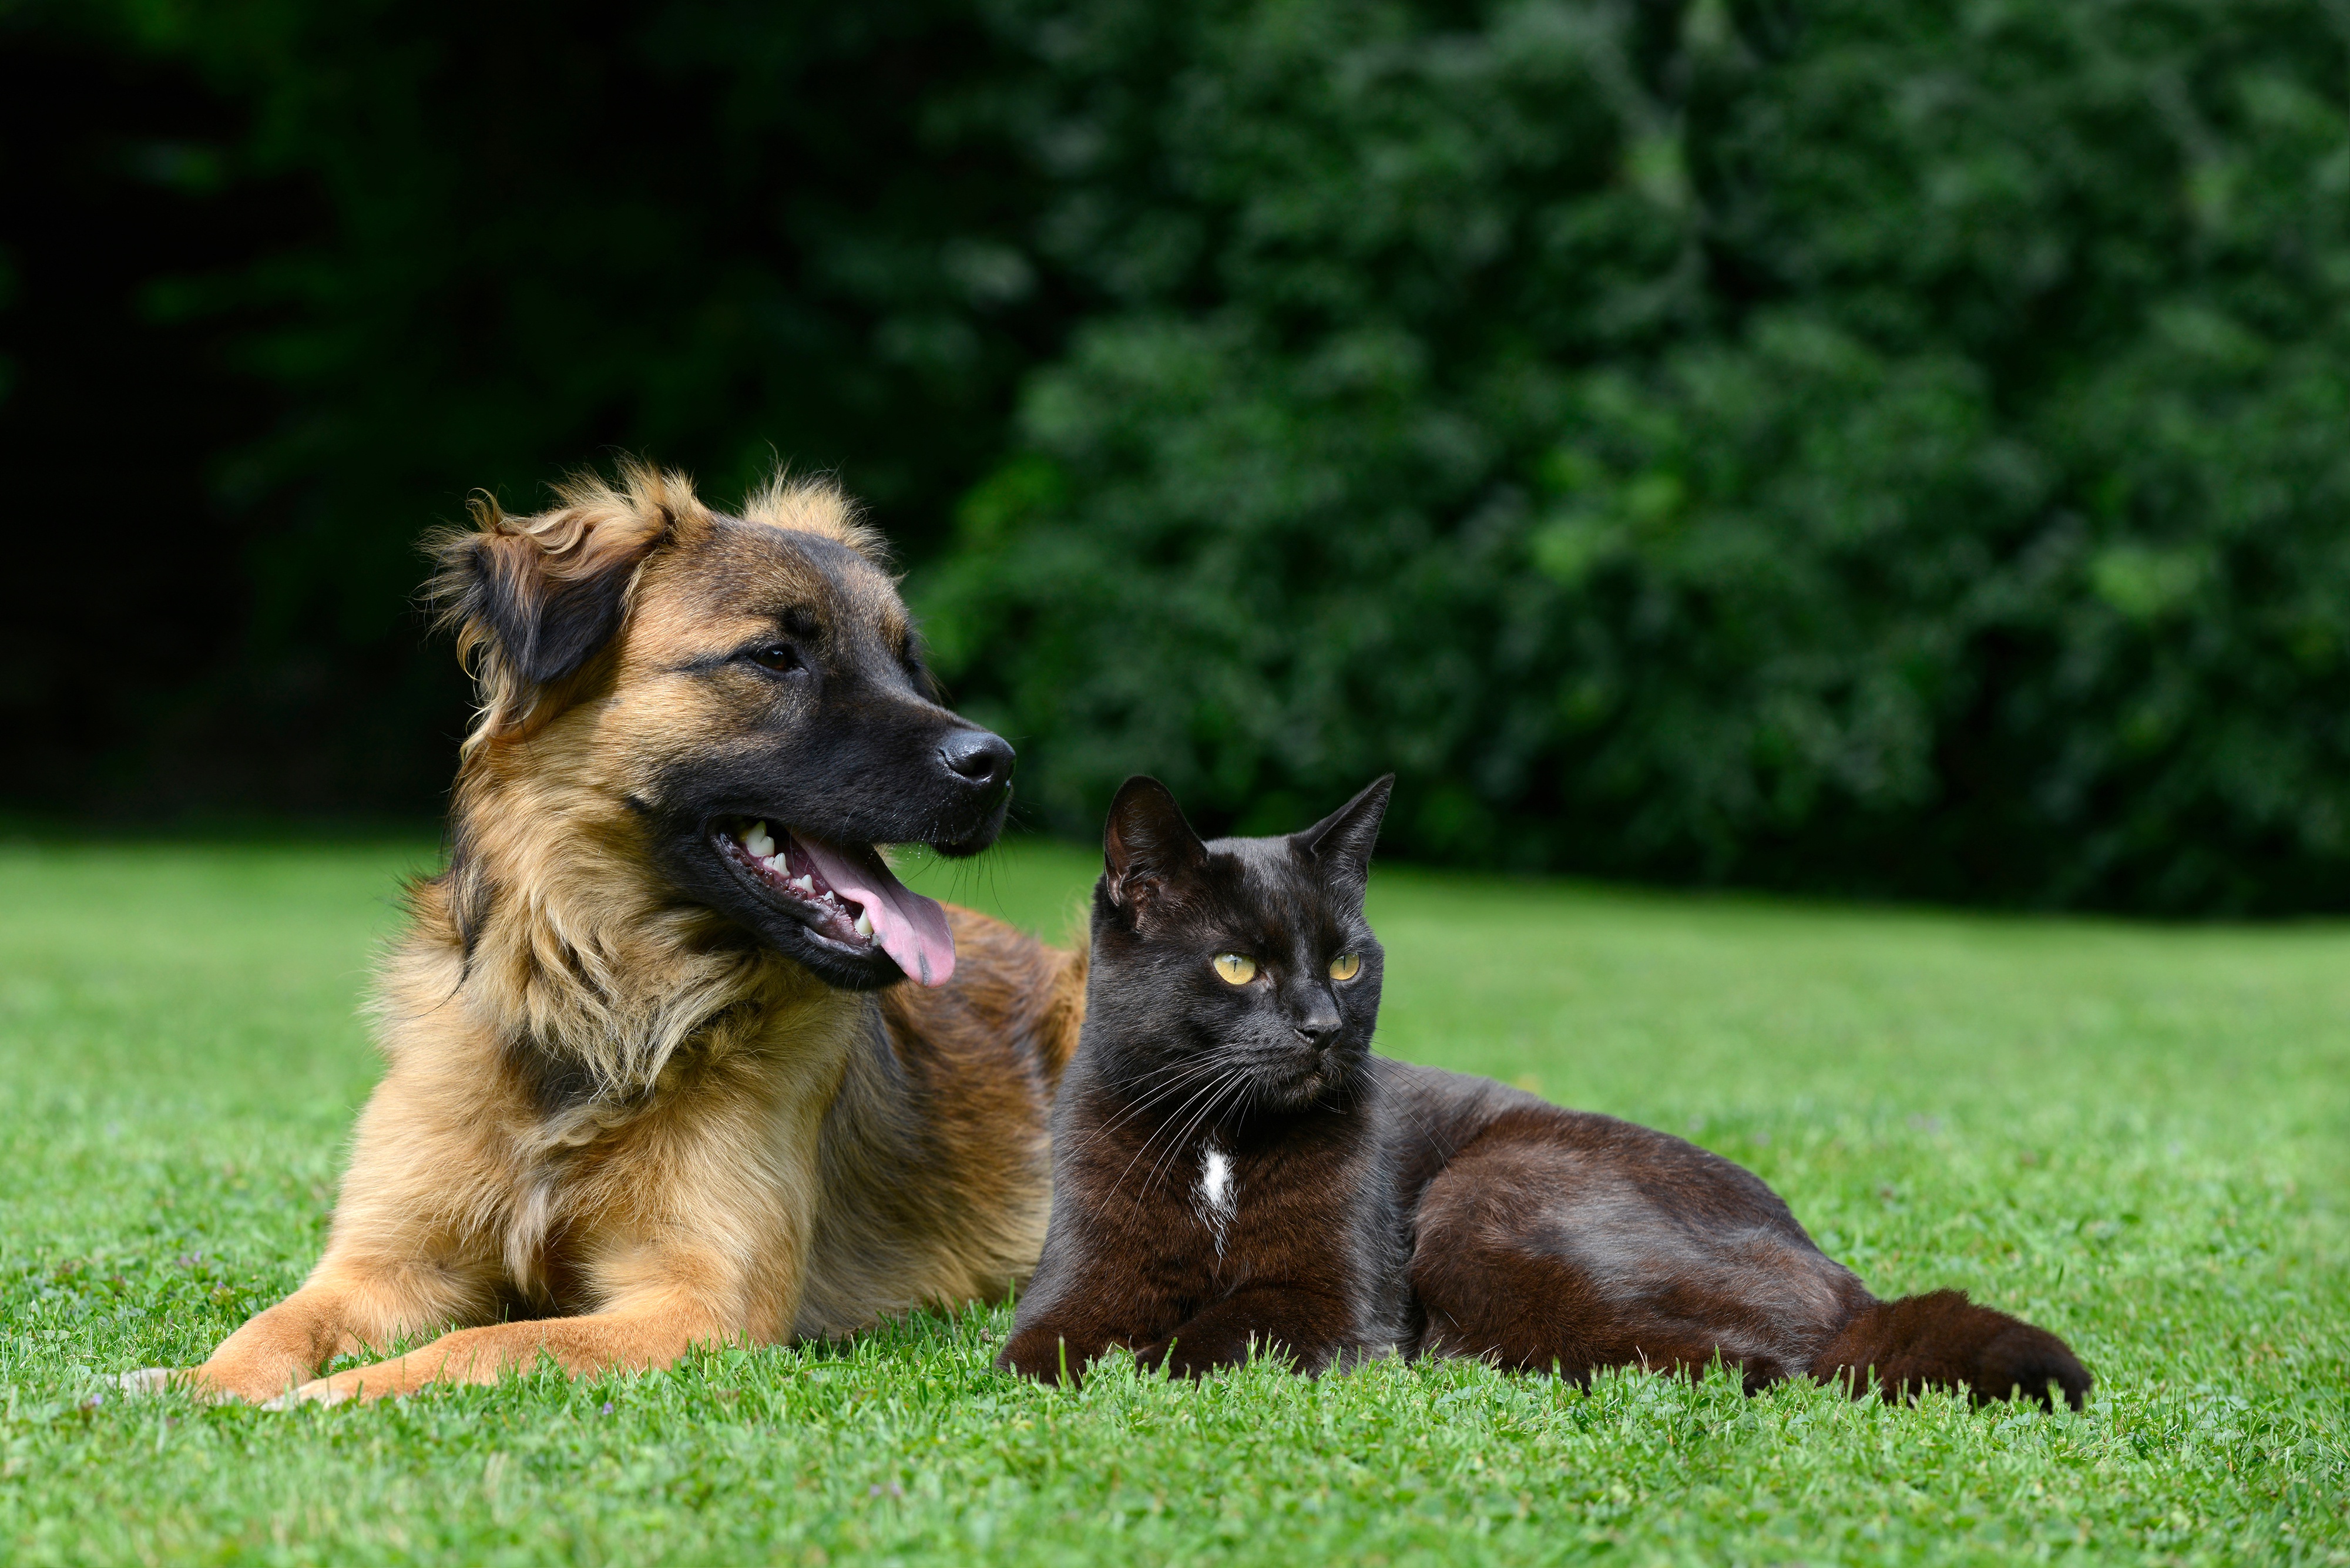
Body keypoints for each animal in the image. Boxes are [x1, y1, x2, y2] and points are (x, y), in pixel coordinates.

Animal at [126, 461, 1081, 1401]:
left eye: (906, 663)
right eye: (776, 657)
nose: (995, 764)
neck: (601, 1003)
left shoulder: (697, 1305)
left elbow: (485, 1347)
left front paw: (341, 1393)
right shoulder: (387, 1261)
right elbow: (277, 1322)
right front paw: (199, 1383)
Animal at [996, 771, 2096, 1410]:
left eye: (1346, 961)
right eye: (1235, 965)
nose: (1320, 1025)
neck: (1221, 1141)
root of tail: (1838, 1273)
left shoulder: (1334, 1299)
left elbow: (1201, 1338)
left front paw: (1142, 1361)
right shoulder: (1080, 1278)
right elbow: (1037, 1350)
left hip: (1486, 1198)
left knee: (1762, 1361)